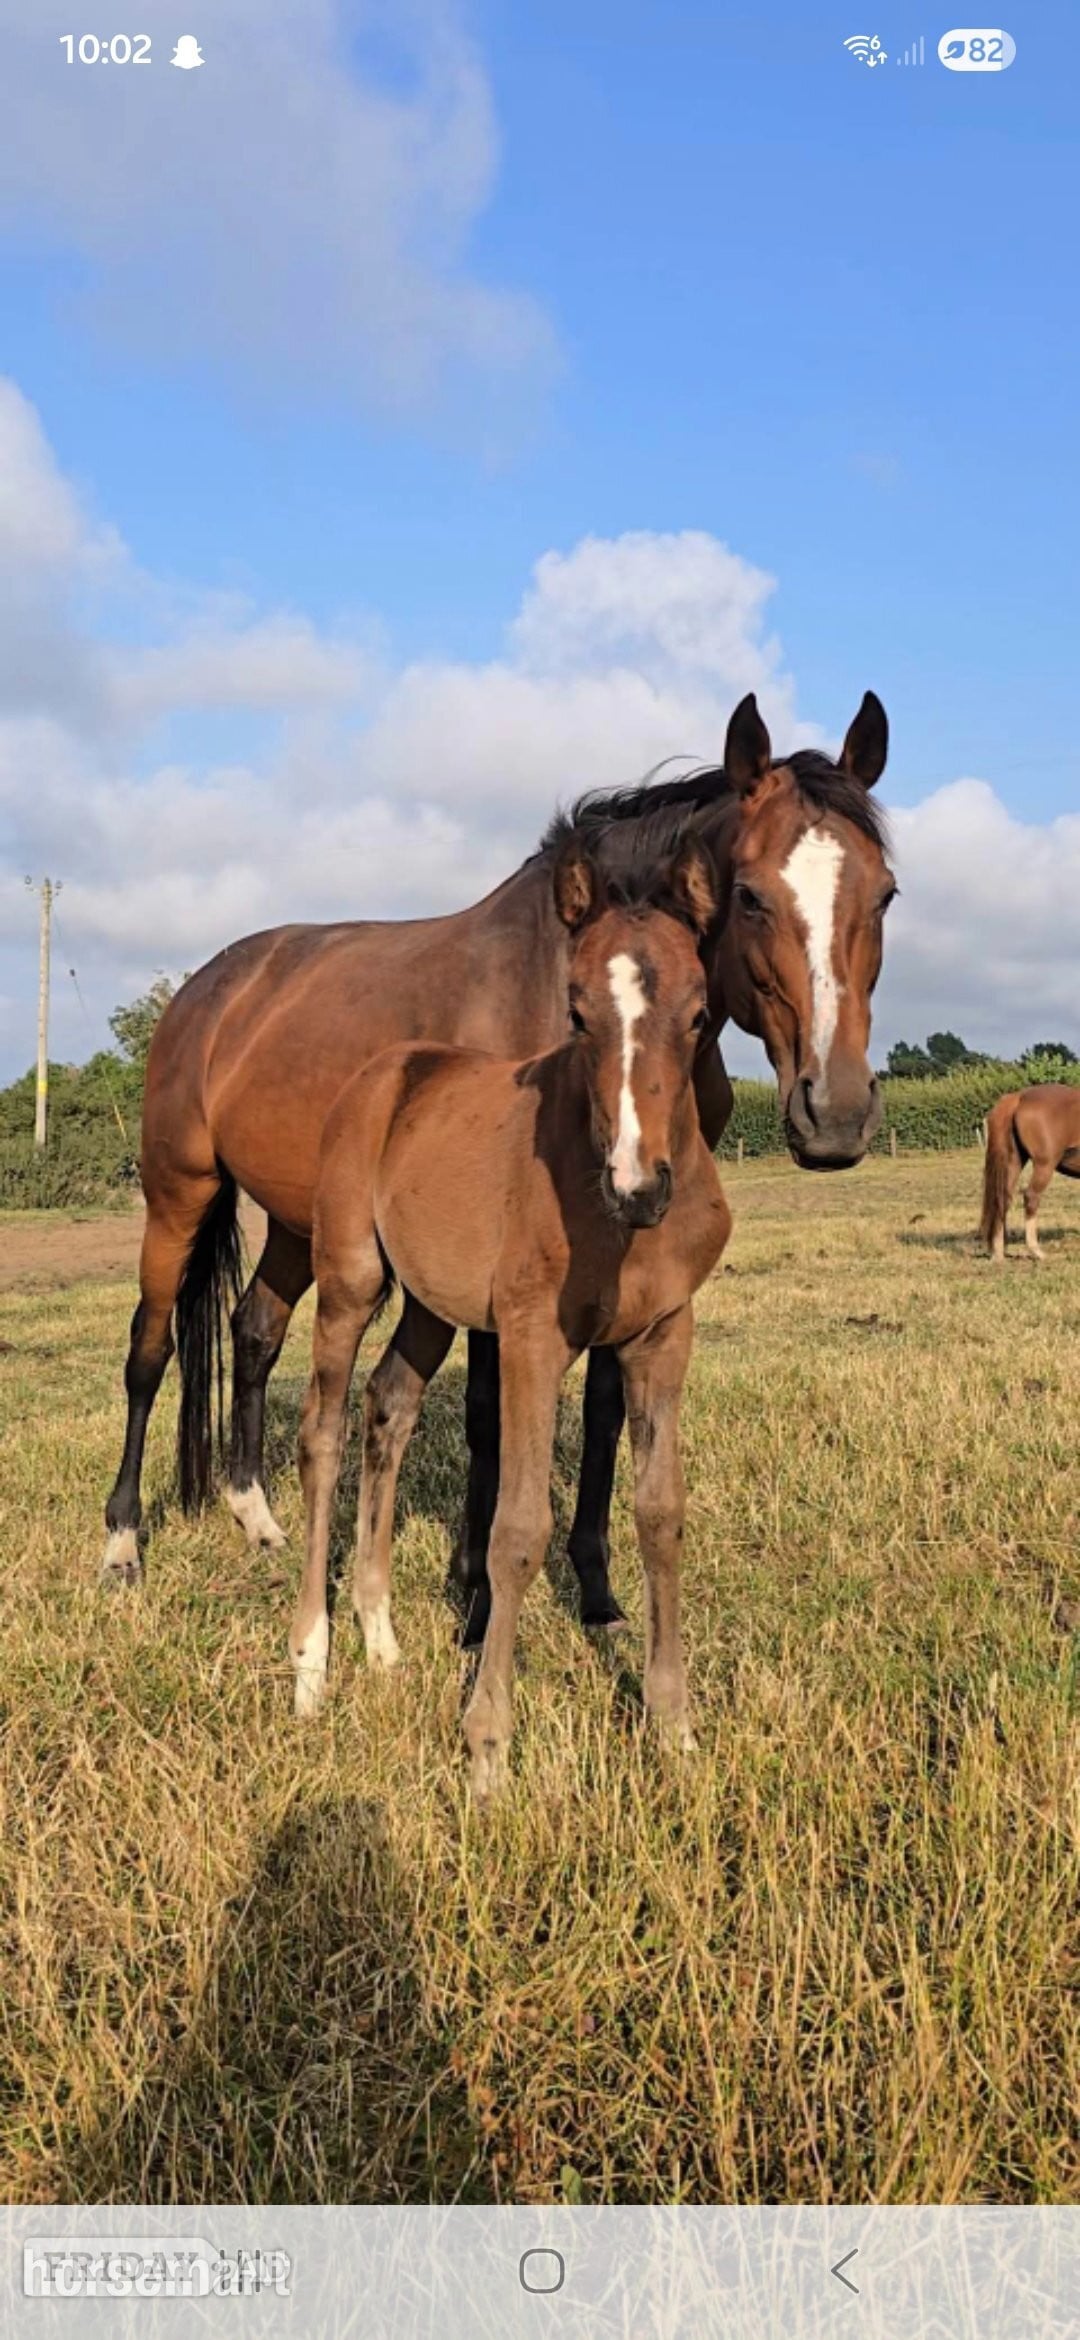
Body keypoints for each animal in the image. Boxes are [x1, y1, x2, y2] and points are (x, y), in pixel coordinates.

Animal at [101, 690, 894, 1640]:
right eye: (749, 895)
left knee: (254, 1330)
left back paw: (257, 1519)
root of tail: (209, 988)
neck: (561, 987)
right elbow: (487, 1416)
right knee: (149, 1350)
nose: (835, 1114)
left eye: (886, 894)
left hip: (302, 1220)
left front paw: (598, 1595)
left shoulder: (627, 1247)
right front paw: (475, 1600)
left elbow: (602, 1415)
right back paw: (123, 1544)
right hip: (177, 1194)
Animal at [289, 830, 732, 1800]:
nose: (639, 1186)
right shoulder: (533, 1337)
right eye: (576, 1013)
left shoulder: (664, 1335)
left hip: (429, 1304)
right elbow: (516, 1530)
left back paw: (380, 1636)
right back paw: (311, 1662)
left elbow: (661, 1515)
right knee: (324, 1435)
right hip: (349, 1278)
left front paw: (675, 1729)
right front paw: (488, 1750)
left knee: (390, 1406)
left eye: (698, 1014)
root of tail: (387, 1071)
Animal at [980, 1085, 1080, 1260]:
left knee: (1002, 1199)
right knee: (1031, 1197)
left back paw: (998, 1253)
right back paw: (1036, 1251)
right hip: (1044, 1165)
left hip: (1014, 1162)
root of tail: (1019, 1096)